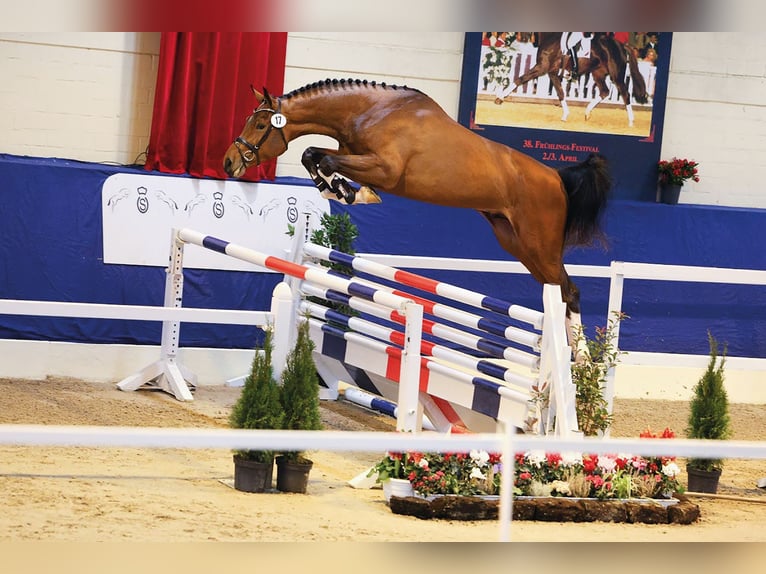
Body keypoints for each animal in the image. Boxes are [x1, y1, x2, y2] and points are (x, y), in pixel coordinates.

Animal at [222, 77, 612, 356]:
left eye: (261, 125)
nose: (229, 162)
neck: (372, 111)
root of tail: (557, 178)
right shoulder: (356, 156)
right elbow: (313, 155)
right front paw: (342, 191)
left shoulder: (384, 168)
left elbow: (325, 159)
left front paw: (348, 192)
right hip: (515, 242)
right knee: (560, 292)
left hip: (538, 243)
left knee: (570, 291)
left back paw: (578, 359)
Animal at [498, 32, 648, 126]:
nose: (506, 41)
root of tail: (621, 45)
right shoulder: (552, 72)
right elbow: (560, 93)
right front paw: (565, 115)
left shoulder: (541, 67)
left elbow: (520, 79)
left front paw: (499, 98)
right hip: (598, 73)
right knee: (605, 92)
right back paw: (587, 113)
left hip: (616, 75)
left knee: (625, 94)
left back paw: (631, 121)